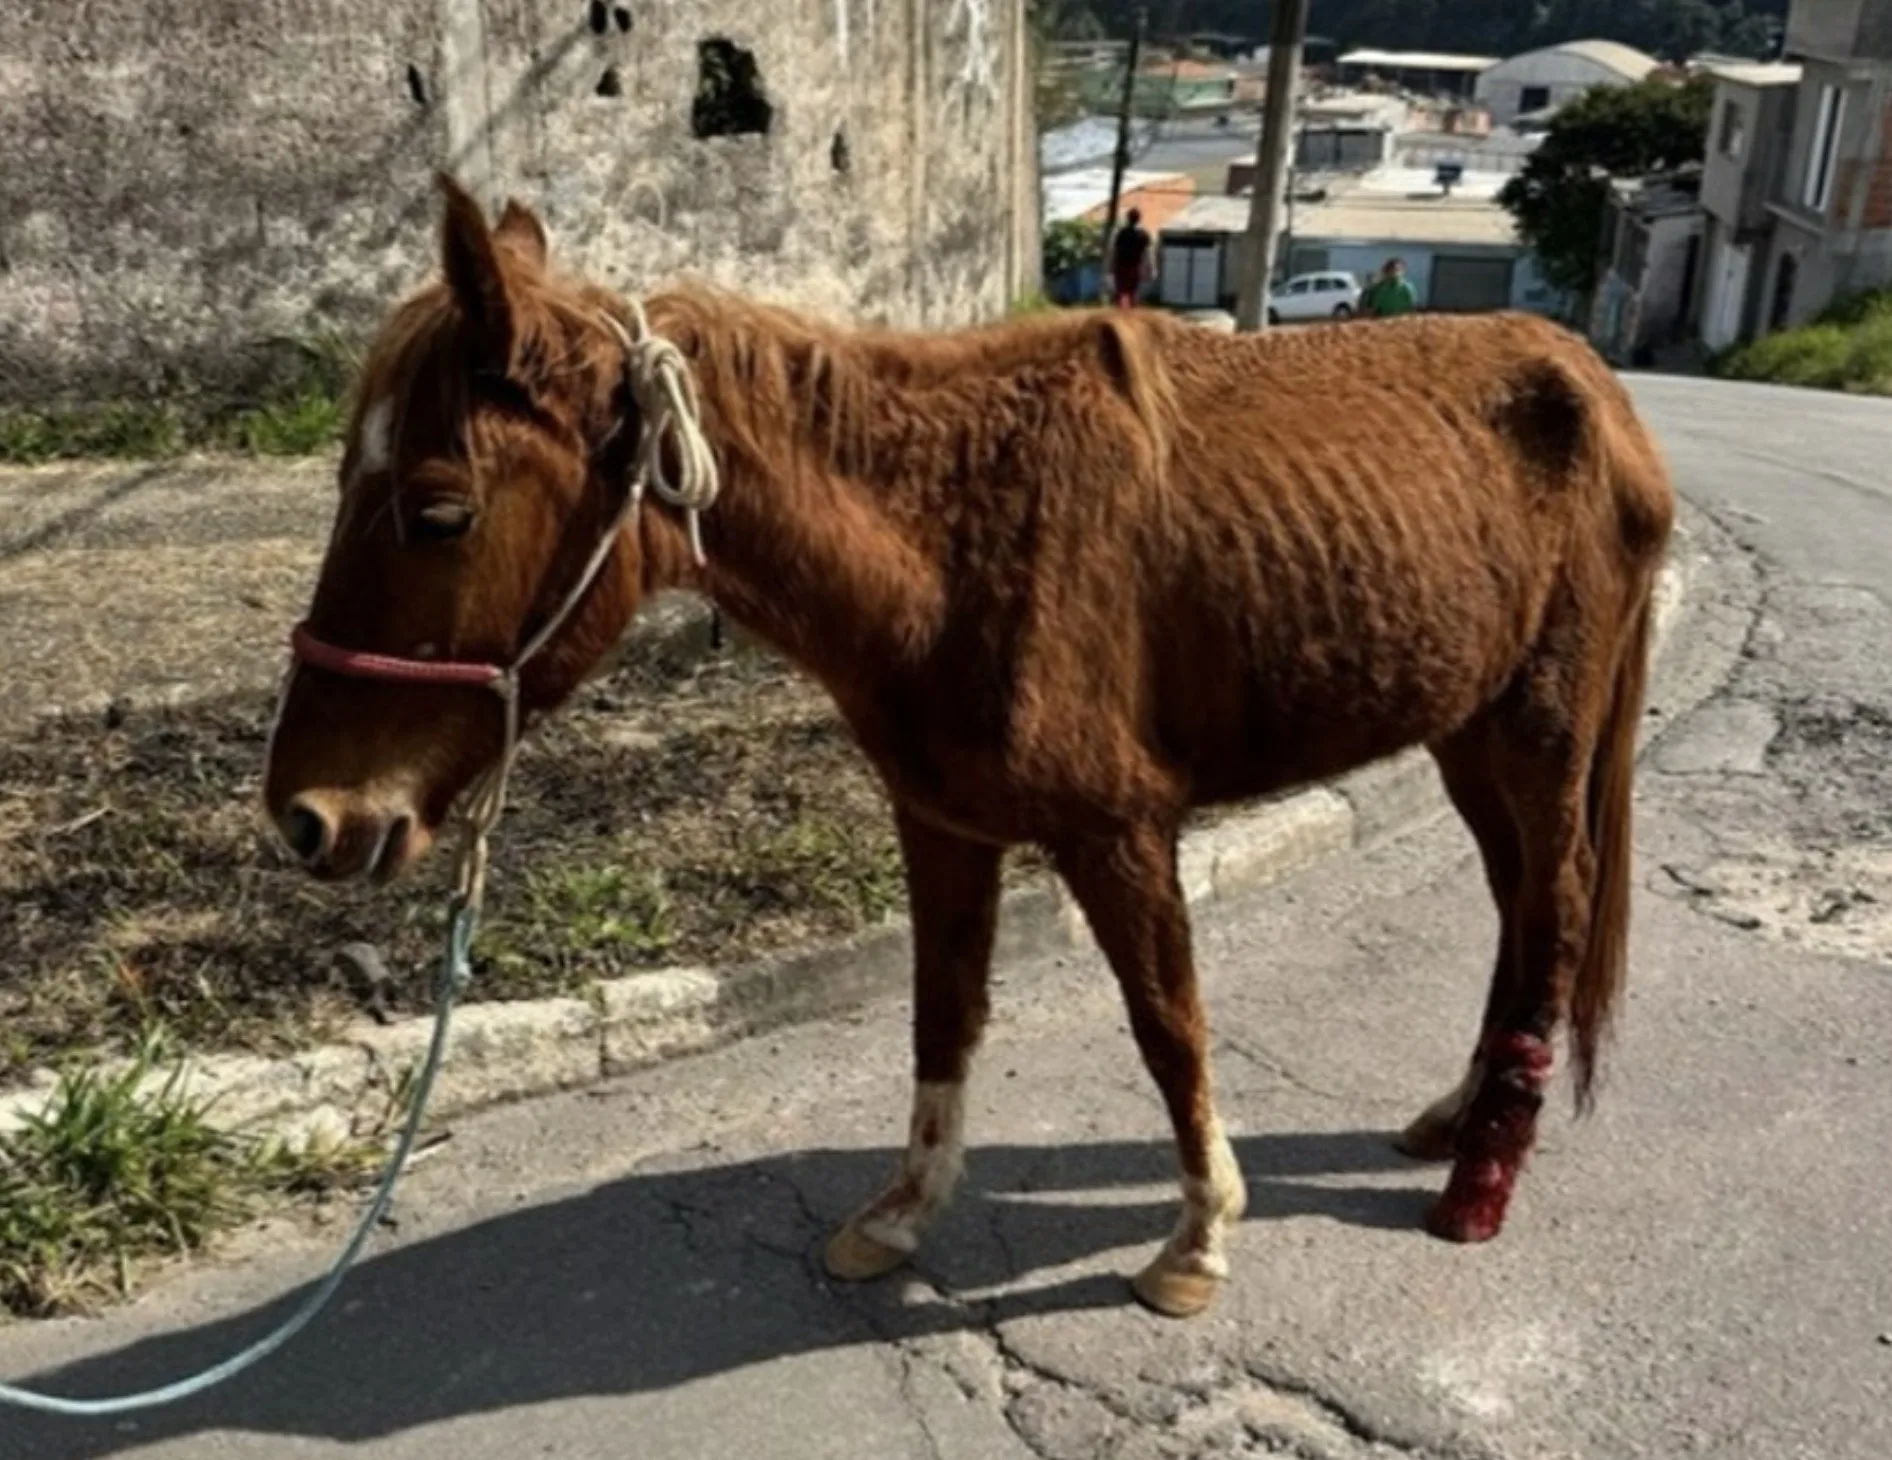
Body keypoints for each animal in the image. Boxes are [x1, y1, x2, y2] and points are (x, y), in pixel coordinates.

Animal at [263, 175, 1675, 1319]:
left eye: (438, 510)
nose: (307, 816)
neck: (954, 535)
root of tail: (1595, 389)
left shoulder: (1119, 832)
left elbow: (1169, 1024)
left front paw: (1198, 1237)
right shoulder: (941, 821)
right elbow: (941, 1013)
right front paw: (898, 1216)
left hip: (1538, 734)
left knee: (1551, 913)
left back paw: (1483, 1174)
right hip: (1465, 735)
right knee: (1515, 911)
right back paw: (1455, 1119)